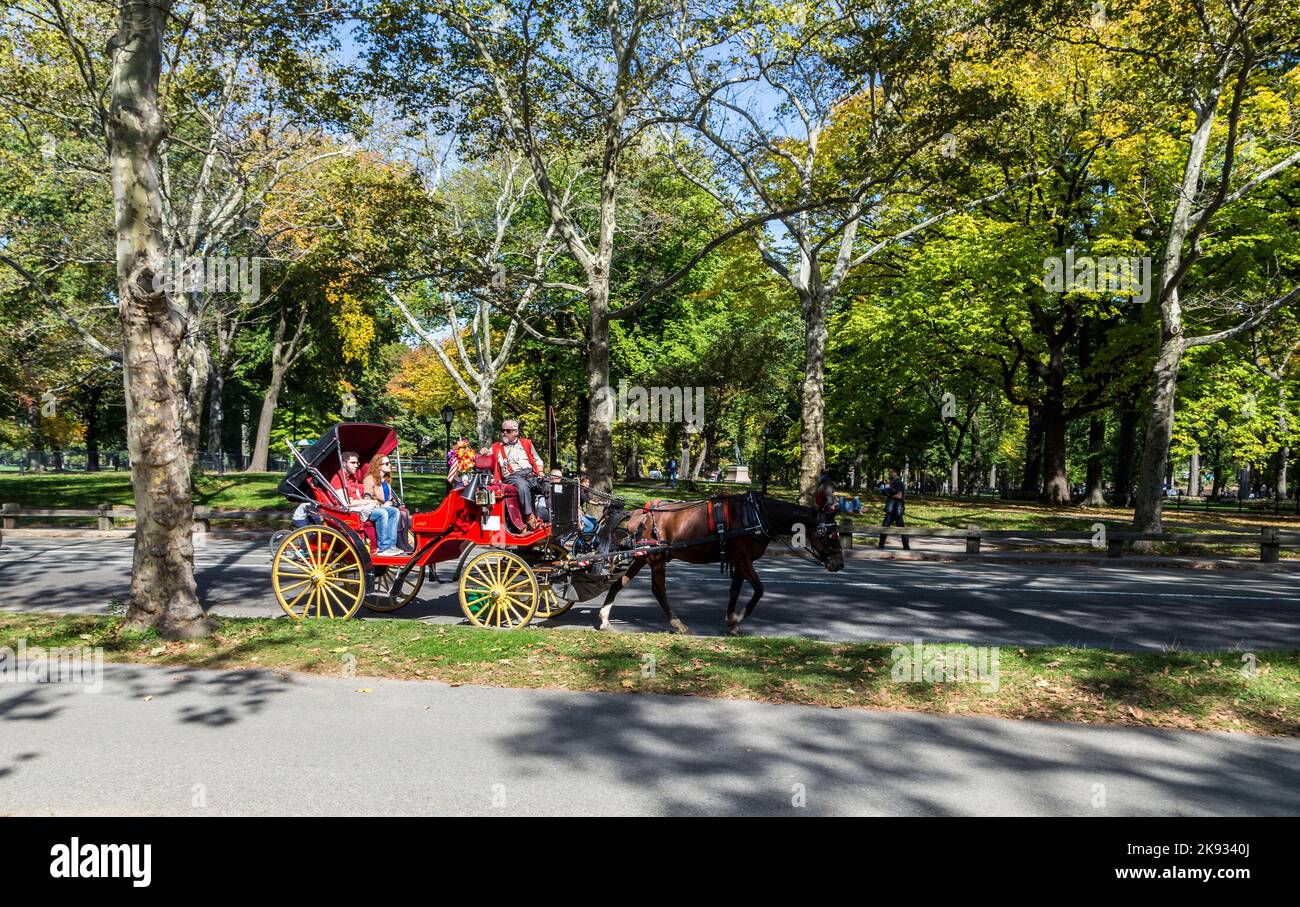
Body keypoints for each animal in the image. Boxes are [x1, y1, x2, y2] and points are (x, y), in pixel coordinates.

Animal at [595, 491, 842, 631]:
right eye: (830, 534)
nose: (839, 563)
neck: (756, 515)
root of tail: (639, 513)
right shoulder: (743, 559)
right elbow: (759, 589)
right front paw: (739, 617)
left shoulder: (739, 561)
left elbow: (735, 591)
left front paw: (731, 621)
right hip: (656, 557)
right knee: (658, 590)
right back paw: (677, 623)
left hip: (643, 557)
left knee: (619, 583)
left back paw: (605, 618)